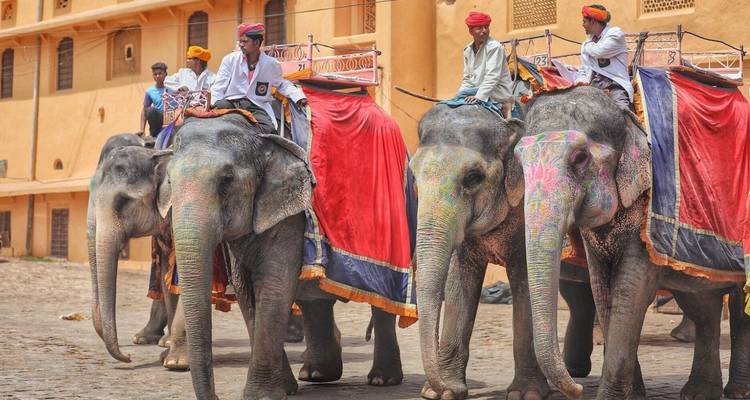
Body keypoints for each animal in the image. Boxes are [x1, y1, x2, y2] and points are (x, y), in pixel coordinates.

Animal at [410, 104, 597, 400]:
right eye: (414, 175)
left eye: (473, 177)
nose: (436, 386)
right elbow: (457, 282)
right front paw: (445, 392)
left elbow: (526, 282)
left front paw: (527, 394)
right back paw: (574, 372)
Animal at [514, 85, 750, 399]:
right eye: (519, 162)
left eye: (580, 158)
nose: (577, 387)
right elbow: (602, 289)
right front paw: (634, 394)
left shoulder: (647, 209)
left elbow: (630, 289)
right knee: (702, 303)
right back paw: (699, 393)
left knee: (738, 308)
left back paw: (738, 392)